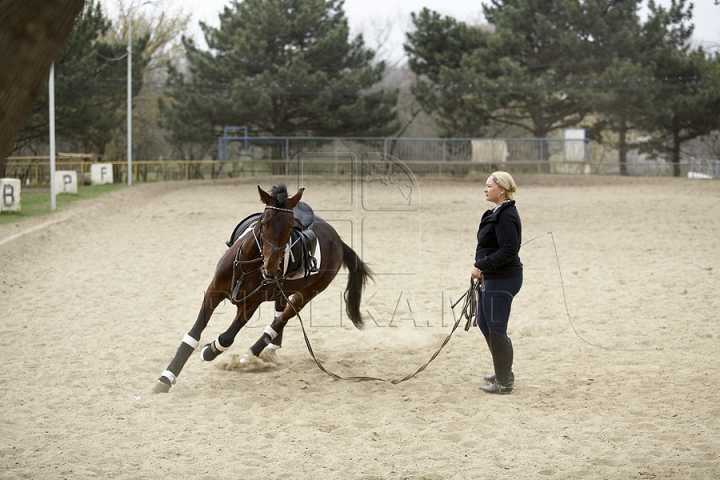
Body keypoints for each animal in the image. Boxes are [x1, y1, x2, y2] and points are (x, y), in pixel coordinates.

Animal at [154, 184, 374, 394]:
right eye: (263, 223)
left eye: (289, 227)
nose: (271, 268)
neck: (248, 266)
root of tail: (338, 240)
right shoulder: (213, 293)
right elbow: (193, 334)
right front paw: (166, 378)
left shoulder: (250, 305)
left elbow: (227, 337)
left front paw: (208, 350)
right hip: (283, 291)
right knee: (278, 317)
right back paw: (269, 350)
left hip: (307, 293)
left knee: (280, 320)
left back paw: (250, 355)